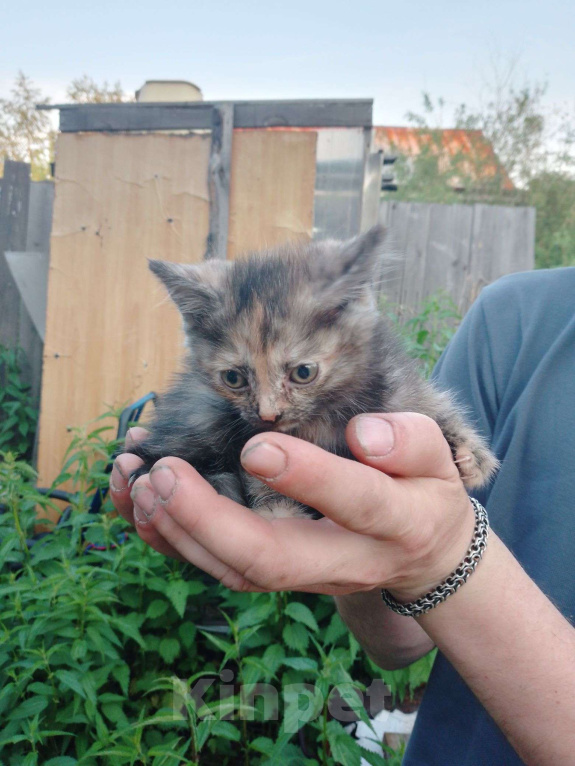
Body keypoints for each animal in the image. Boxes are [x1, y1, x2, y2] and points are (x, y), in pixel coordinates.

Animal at [128, 225, 498, 520]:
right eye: (234, 379)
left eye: (303, 373)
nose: (268, 415)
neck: (322, 417)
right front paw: (278, 511)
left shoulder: (393, 382)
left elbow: (427, 404)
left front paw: (473, 454)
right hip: (201, 413)